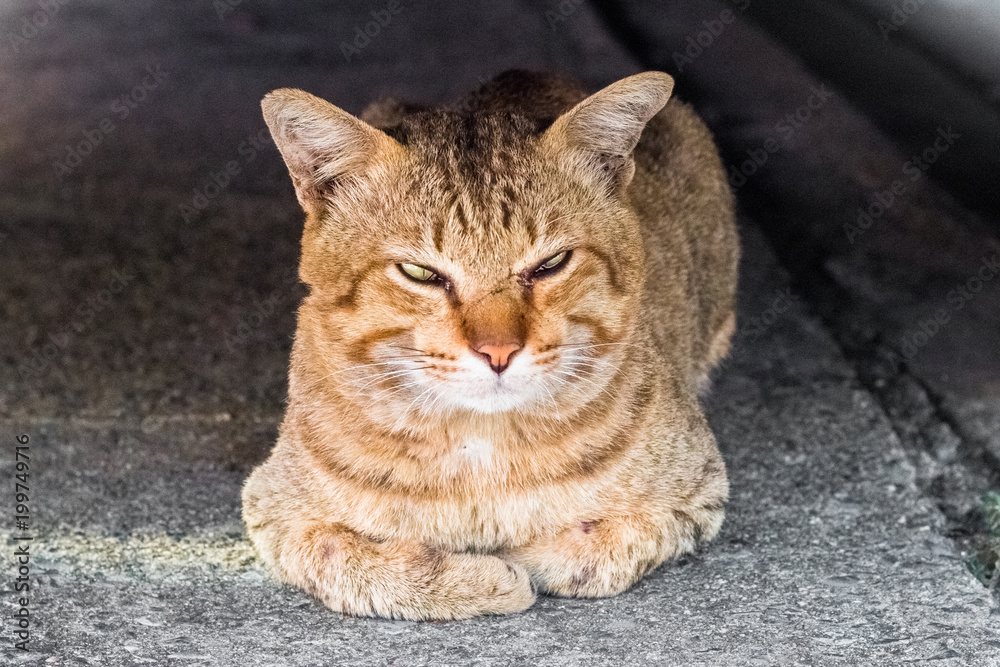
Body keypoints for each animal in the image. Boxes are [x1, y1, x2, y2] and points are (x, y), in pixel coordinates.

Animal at [241, 69, 740, 620]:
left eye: (551, 264)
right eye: (420, 273)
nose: (498, 353)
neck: (480, 446)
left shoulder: (699, 490)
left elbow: (592, 553)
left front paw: (520, 558)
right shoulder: (274, 511)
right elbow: (346, 561)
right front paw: (480, 578)